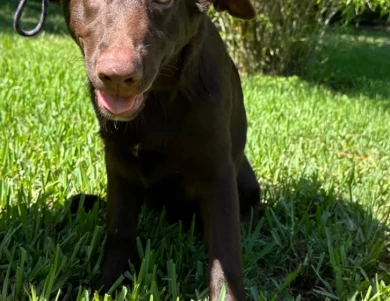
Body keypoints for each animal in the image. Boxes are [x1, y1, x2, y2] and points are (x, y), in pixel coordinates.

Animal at [61, 0, 258, 298]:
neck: (158, 100)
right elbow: (119, 230)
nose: (117, 77)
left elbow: (225, 253)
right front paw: (106, 286)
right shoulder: (118, 162)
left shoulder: (218, 172)